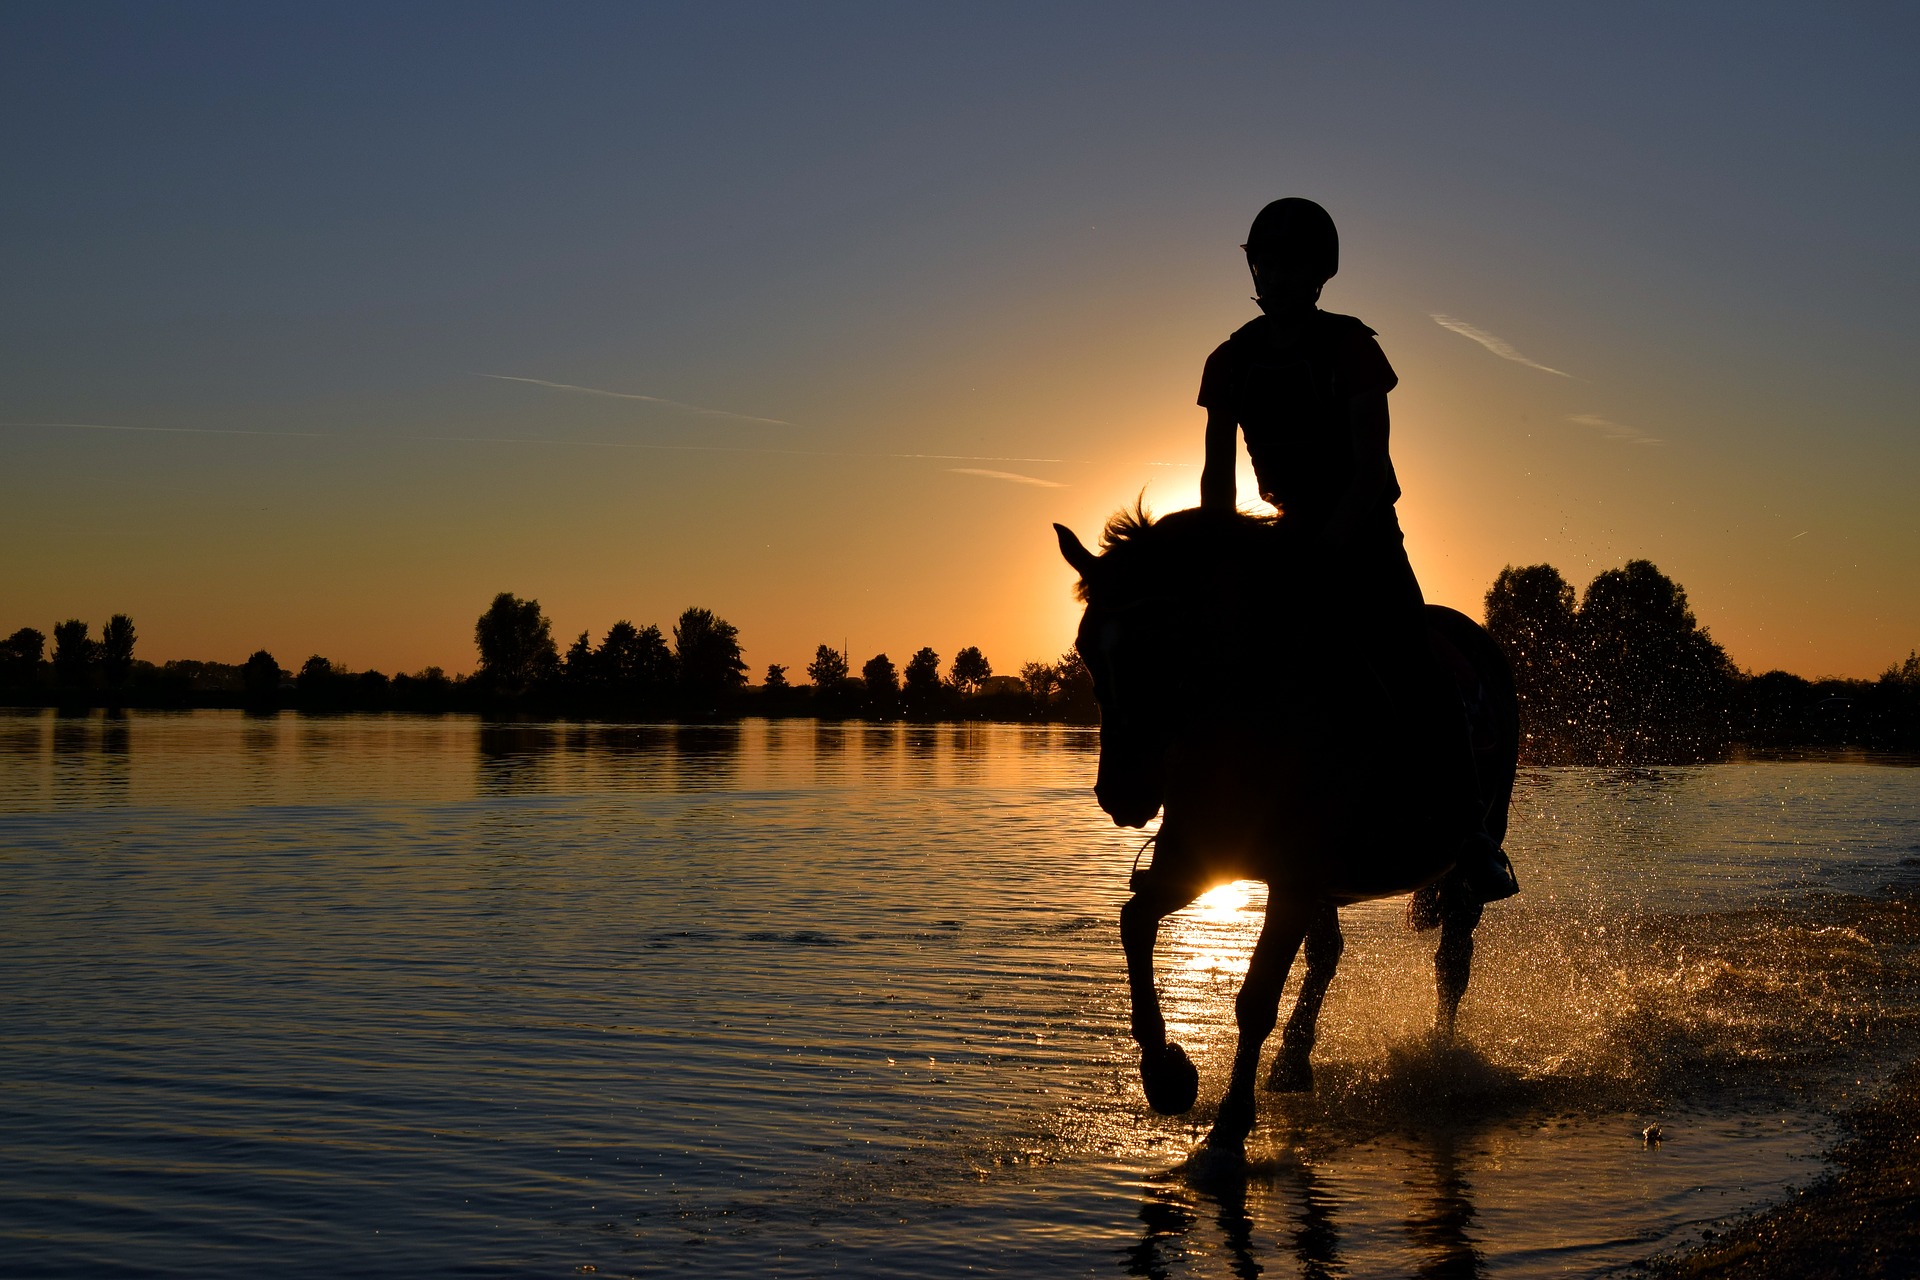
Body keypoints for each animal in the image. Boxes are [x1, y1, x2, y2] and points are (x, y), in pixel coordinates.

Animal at [1052, 506, 1512, 1159]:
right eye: (1087, 647)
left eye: (1162, 646)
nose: (1122, 793)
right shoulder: (1199, 863)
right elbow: (1135, 923)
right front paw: (1166, 1074)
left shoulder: (1292, 881)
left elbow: (1256, 997)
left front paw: (1228, 1127)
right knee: (1328, 954)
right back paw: (1294, 1062)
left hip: (1466, 859)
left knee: (1452, 960)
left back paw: (1441, 1063)